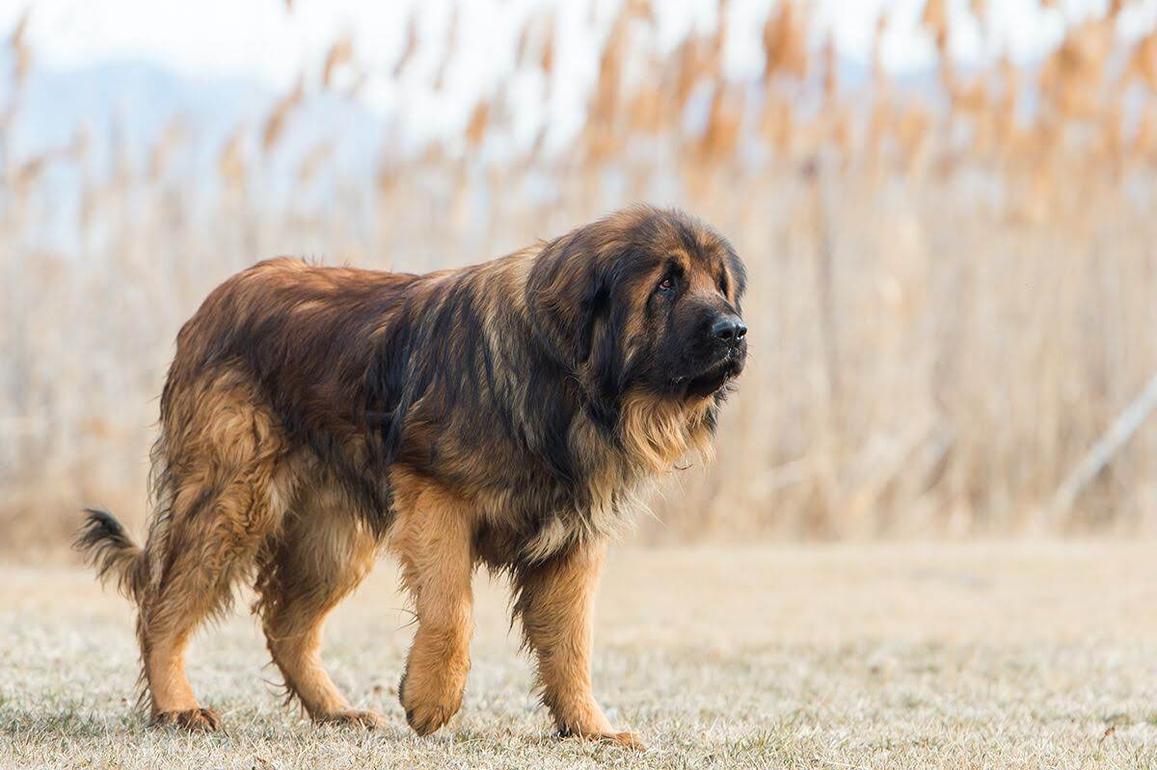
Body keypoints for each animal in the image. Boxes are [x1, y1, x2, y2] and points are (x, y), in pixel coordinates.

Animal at [79, 202, 749, 744]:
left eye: (720, 284)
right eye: (667, 282)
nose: (735, 331)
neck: (562, 374)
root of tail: (215, 302)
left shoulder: (571, 544)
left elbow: (571, 645)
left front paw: (590, 729)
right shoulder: (436, 498)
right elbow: (452, 610)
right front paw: (431, 700)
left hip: (333, 537)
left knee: (285, 626)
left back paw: (337, 711)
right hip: (231, 502)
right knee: (164, 609)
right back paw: (178, 708)